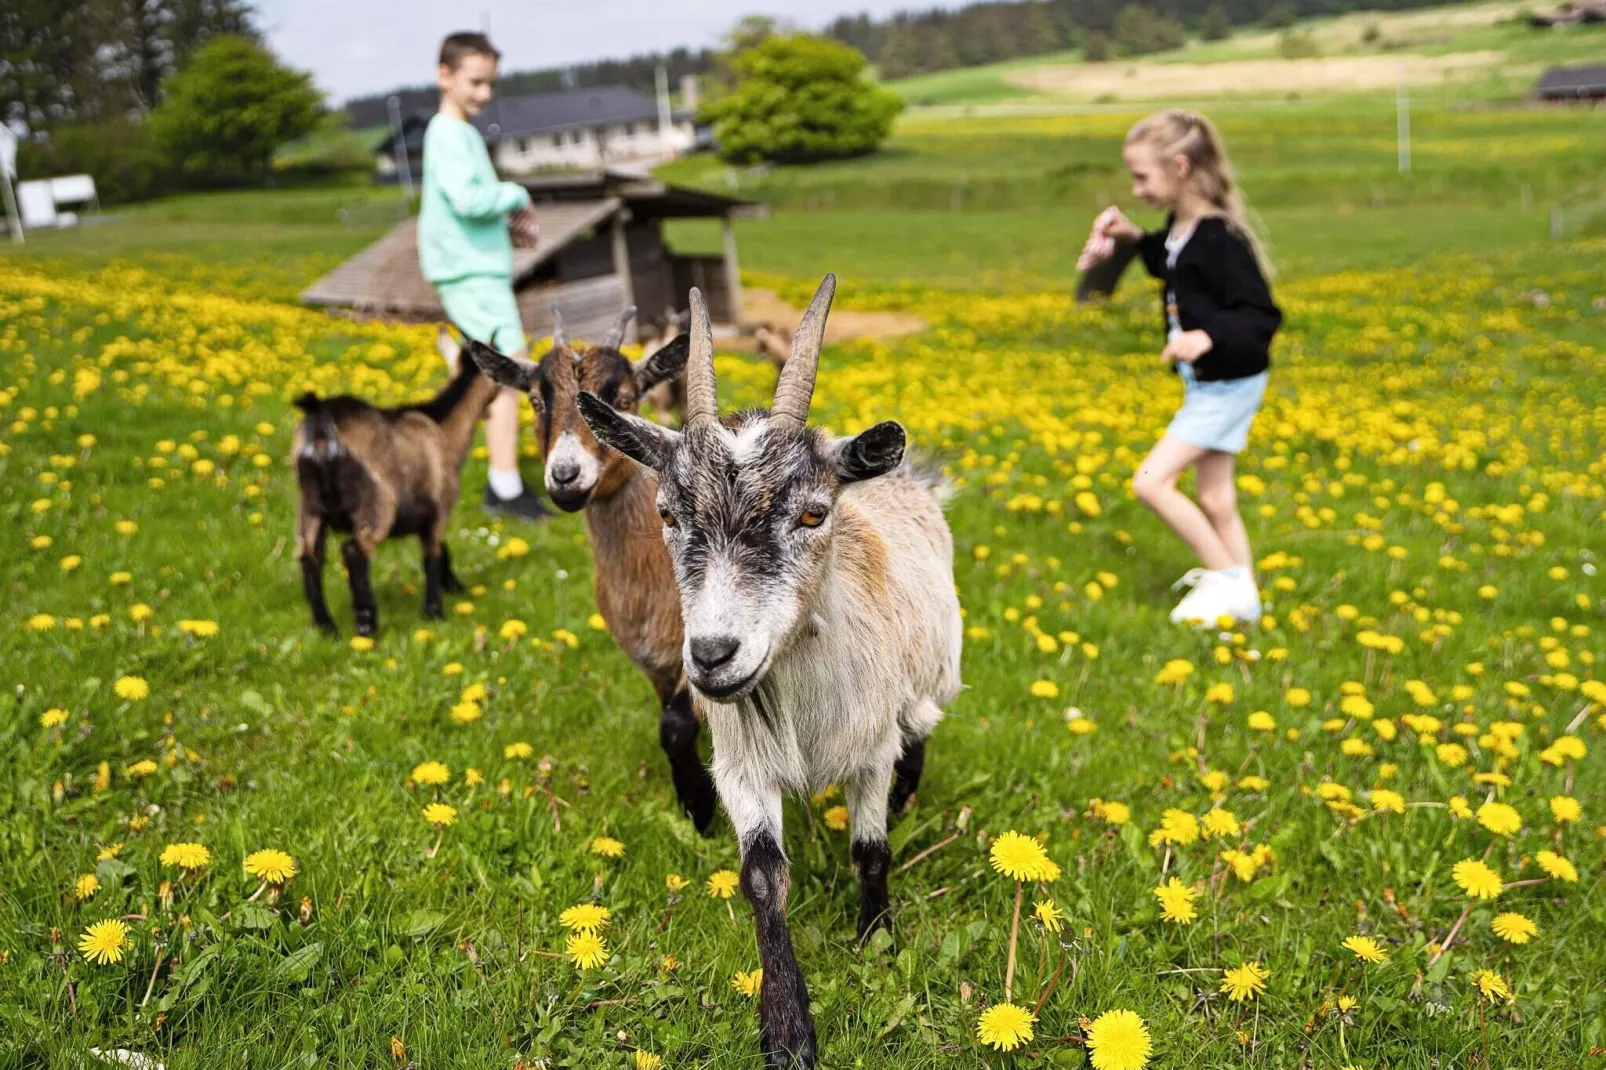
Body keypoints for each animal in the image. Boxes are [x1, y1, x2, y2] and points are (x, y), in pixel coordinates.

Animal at [292, 348, 497, 633]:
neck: (443, 428)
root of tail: (322, 424)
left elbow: (440, 548)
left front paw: (454, 587)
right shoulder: (440, 506)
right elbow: (432, 556)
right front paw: (434, 611)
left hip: (309, 505)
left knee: (309, 558)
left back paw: (326, 626)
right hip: (375, 502)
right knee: (354, 551)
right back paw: (366, 624)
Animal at [465, 303, 716, 829]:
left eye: (622, 398)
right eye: (535, 400)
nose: (565, 476)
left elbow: (677, 724)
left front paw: (702, 808)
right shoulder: (655, 662)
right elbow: (672, 722)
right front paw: (691, 799)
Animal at [578, 276, 957, 1066]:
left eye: (813, 515)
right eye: (667, 513)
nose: (712, 654)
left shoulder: (870, 750)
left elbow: (871, 848)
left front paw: (876, 936)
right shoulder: (742, 764)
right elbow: (762, 878)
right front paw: (786, 1026)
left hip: (936, 674)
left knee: (922, 730)